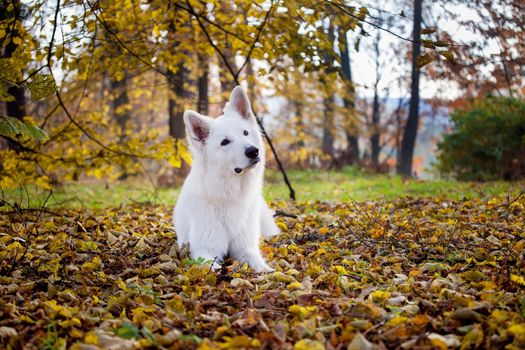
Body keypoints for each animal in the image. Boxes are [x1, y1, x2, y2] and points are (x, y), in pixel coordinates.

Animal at [173, 86, 280, 272]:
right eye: (225, 142)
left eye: (245, 133)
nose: (253, 151)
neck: (230, 195)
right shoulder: (204, 250)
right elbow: (211, 267)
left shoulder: (246, 247)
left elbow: (257, 260)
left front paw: (268, 270)